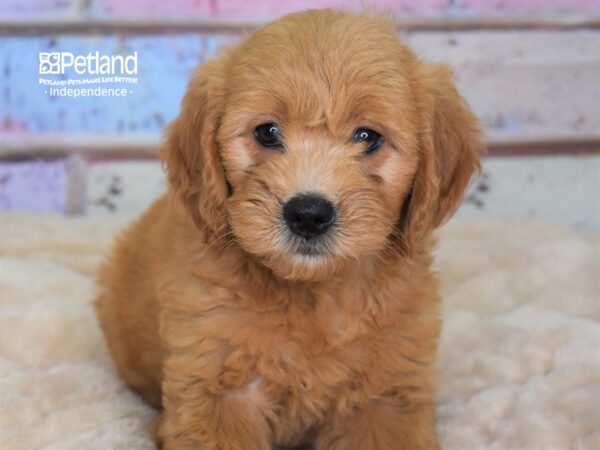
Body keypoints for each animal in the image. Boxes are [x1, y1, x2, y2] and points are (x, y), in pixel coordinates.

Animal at [96, 8, 486, 448]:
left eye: (368, 136)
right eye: (267, 132)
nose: (308, 214)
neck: (311, 294)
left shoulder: (387, 394)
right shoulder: (219, 389)